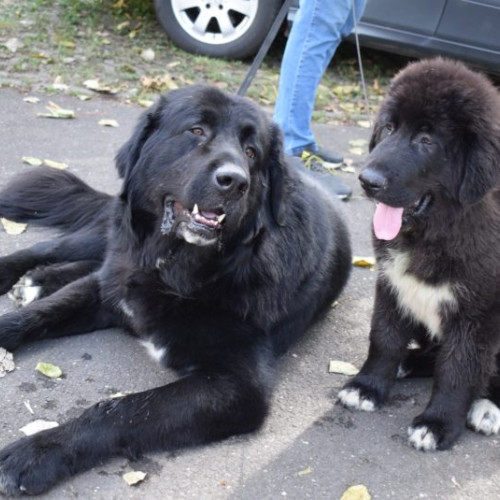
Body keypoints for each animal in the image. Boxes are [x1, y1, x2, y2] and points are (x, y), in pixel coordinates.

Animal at [0, 84, 352, 494]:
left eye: (252, 153)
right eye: (196, 130)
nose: (235, 181)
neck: (175, 270)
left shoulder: (238, 387)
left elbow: (120, 409)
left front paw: (40, 451)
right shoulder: (112, 288)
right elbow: (40, 314)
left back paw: (39, 280)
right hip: (109, 235)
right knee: (52, 249)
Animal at [336, 57, 500, 450]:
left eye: (426, 141)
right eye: (389, 128)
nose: (367, 181)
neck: (433, 234)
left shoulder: (478, 314)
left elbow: (457, 370)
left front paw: (438, 423)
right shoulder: (391, 285)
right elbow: (383, 338)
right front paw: (367, 386)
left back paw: (487, 407)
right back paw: (408, 363)